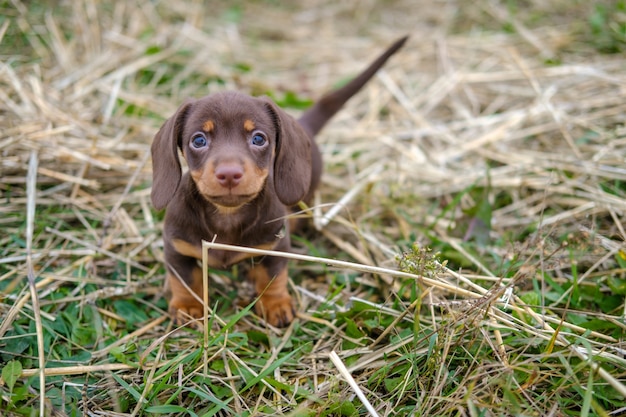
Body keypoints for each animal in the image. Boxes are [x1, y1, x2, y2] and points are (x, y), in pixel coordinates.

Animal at [150, 35, 404, 326]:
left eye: (259, 138)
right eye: (199, 140)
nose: (229, 174)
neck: (227, 215)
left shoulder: (276, 246)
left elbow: (272, 277)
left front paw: (275, 304)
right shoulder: (177, 249)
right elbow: (186, 280)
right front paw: (188, 306)